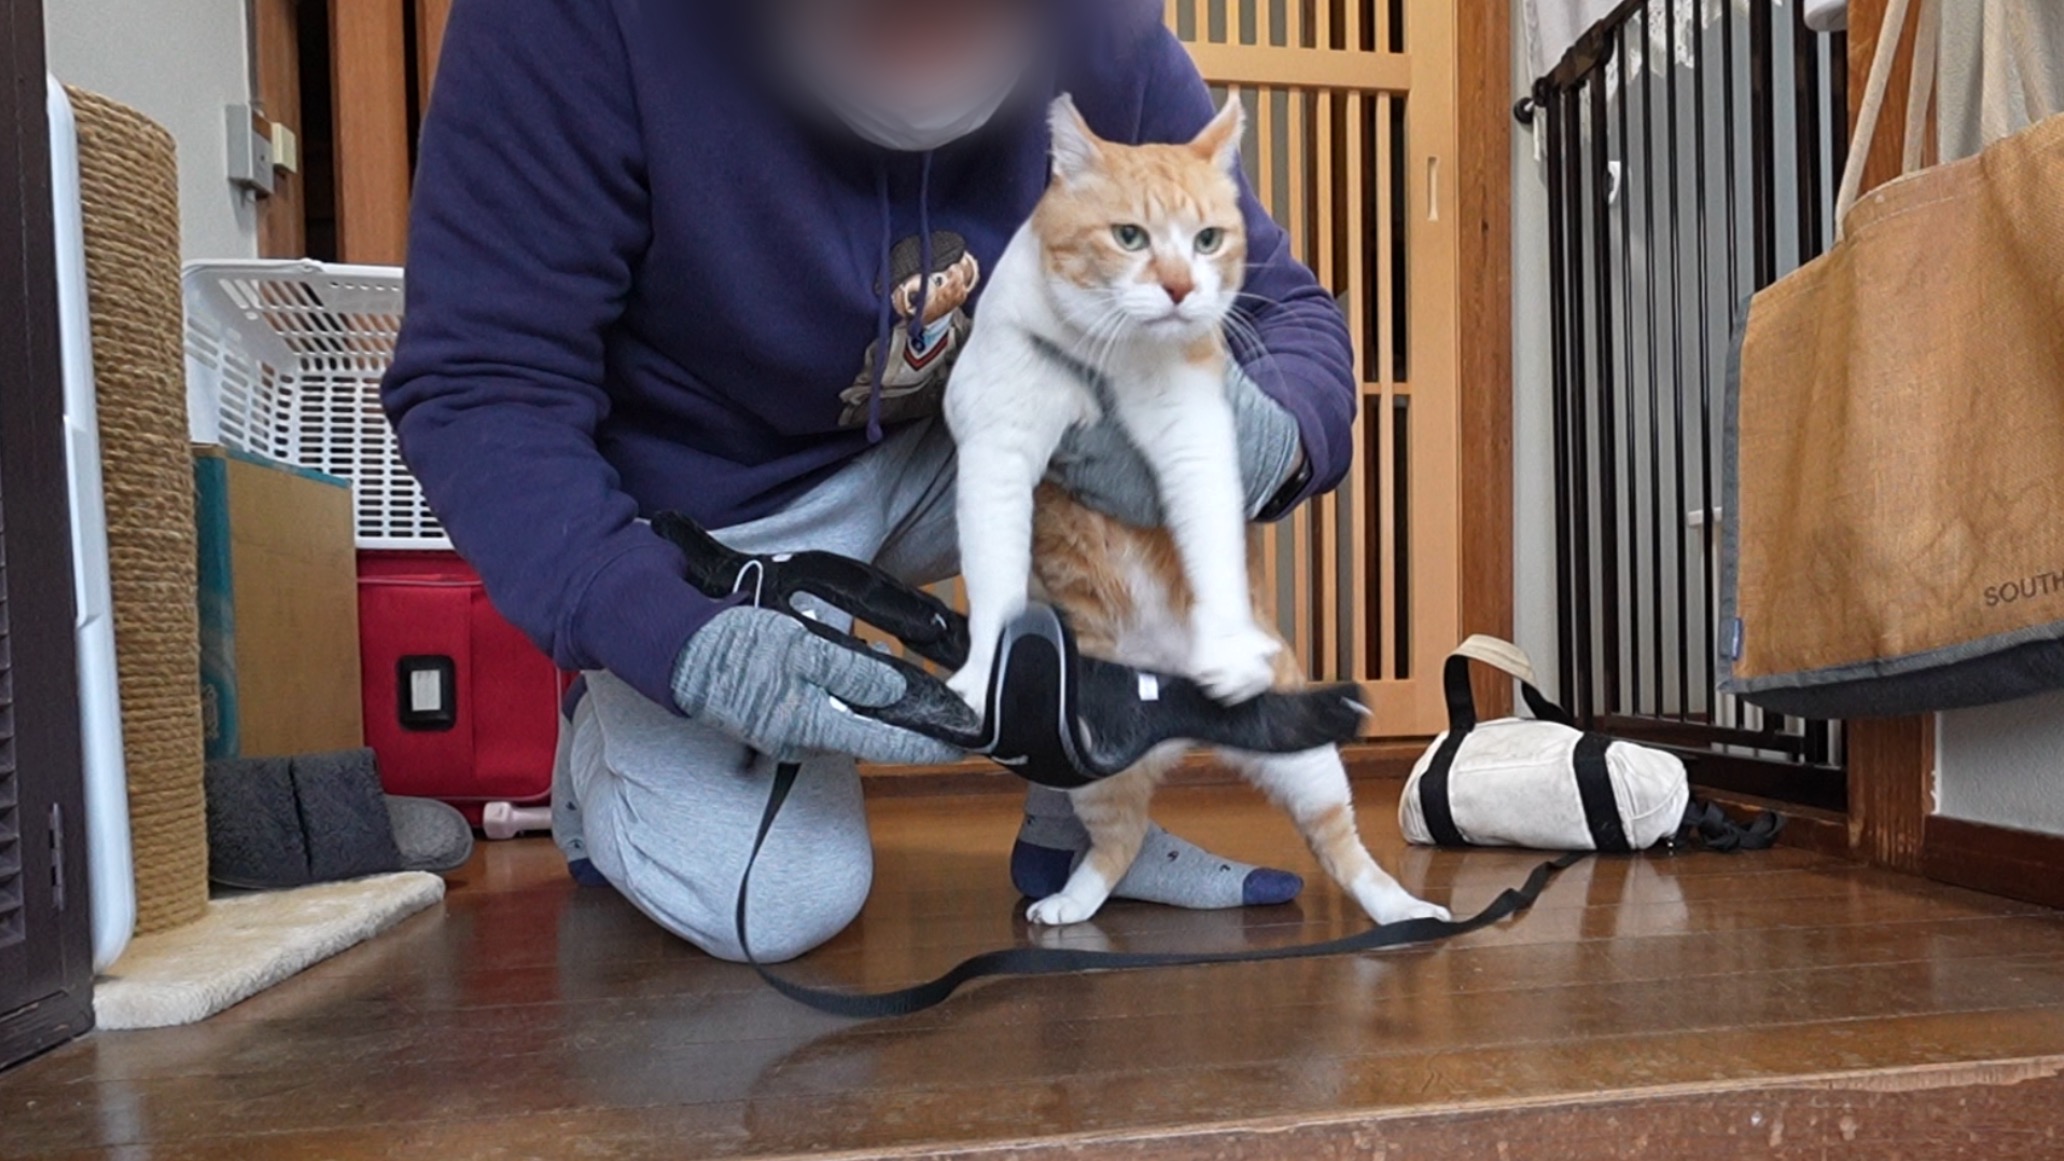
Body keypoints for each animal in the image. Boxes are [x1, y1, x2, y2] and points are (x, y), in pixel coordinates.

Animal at [943, 93, 1450, 930]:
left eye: (1208, 239)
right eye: (1129, 236)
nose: (1181, 288)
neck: (1108, 356)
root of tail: (1180, 721)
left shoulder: (1196, 434)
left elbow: (1209, 538)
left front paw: (1226, 645)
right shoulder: (997, 449)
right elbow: (991, 580)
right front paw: (984, 667)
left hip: (1306, 759)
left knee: (1343, 846)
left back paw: (1405, 907)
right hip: (1095, 773)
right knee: (1116, 842)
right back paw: (1068, 902)